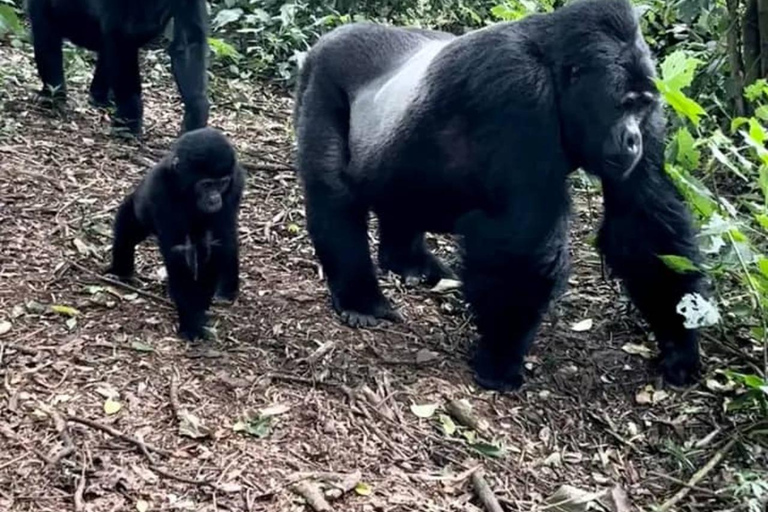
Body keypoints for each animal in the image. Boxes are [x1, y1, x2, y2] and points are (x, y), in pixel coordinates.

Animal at [27, 0, 208, 136]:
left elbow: (188, 43)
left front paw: (195, 115)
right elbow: (123, 34)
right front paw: (129, 119)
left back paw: (98, 96)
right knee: (46, 34)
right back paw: (53, 97)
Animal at [107, 127, 243, 340]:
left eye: (221, 183)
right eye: (206, 185)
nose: (214, 199)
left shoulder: (234, 184)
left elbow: (218, 243)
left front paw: (199, 310)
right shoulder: (160, 189)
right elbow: (179, 251)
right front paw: (192, 321)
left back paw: (226, 290)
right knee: (127, 230)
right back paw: (122, 271)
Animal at [296, 0, 708, 390]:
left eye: (641, 107)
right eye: (622, 104)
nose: (633, 139)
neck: (554, 64)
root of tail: (329, 37)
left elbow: (642, 224)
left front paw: (680, 343)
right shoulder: (519, 91)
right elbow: (523, 237)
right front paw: (501, 357)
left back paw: (409, 262)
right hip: (323, 76)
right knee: (335, 193)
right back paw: (361, 297)